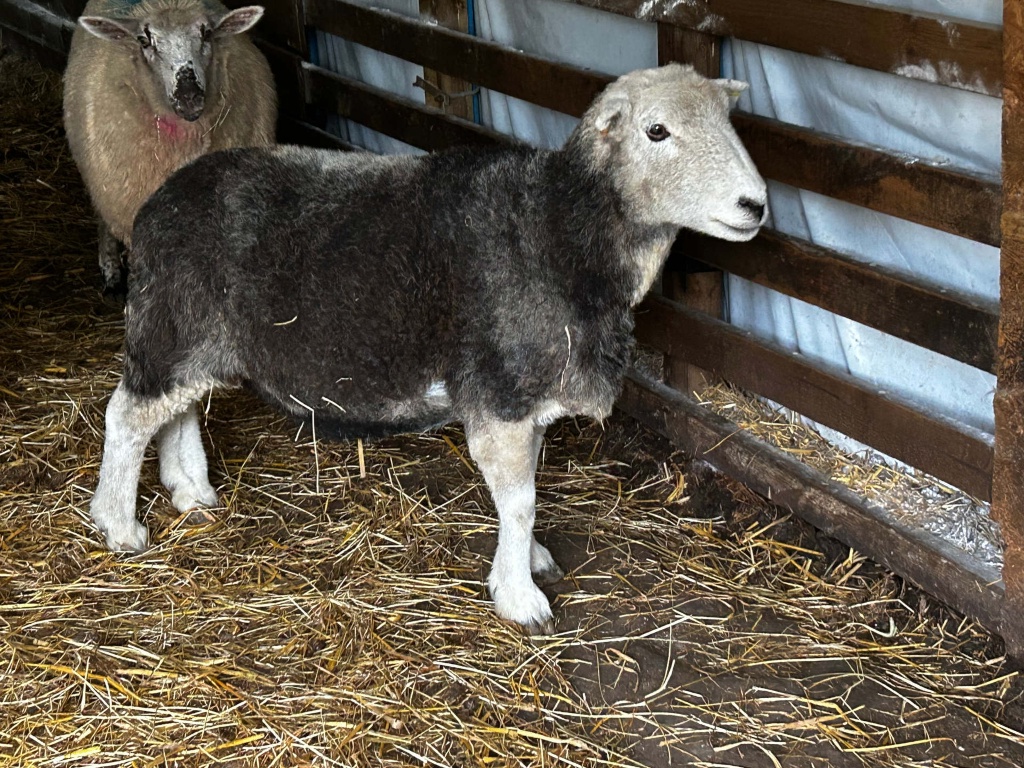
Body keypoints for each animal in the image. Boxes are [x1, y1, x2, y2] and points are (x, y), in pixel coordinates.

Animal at [89, 64, 767, 633]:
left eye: (729, 123)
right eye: (657, 130)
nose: (756, 205)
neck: (557, 229)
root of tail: (155, 204)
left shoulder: (525, 398)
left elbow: (527, 490)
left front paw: (530, 558)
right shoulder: (499, 393)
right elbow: (520, 501)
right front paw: (520, 597)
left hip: (191, 334)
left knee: (175, 408)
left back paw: (191, 492)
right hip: (173, 318)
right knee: (128, 416)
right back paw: (120, 525)